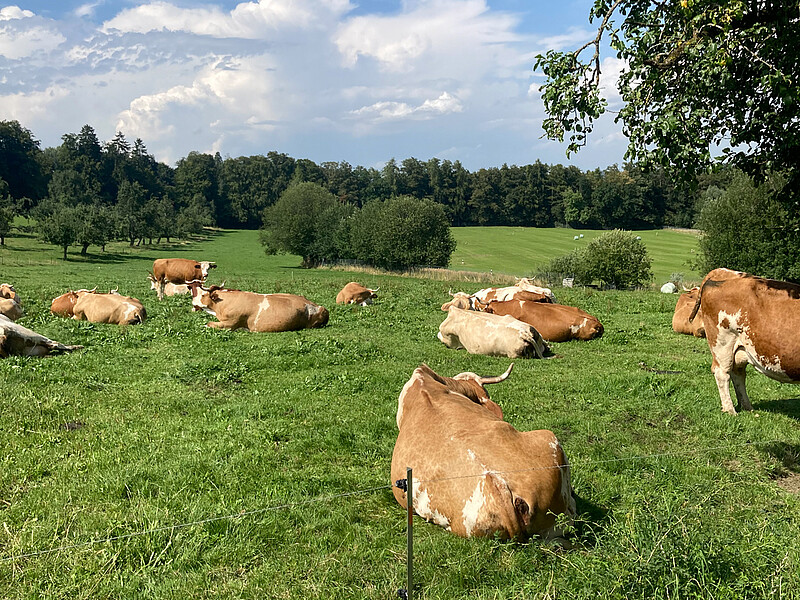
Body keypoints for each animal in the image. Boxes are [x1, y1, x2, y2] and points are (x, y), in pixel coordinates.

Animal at [688, 270, 800, 414]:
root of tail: (725, 272)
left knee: (738, 373)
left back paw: (747, 407)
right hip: (722, 343)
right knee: (722, 373)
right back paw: (730, 410)